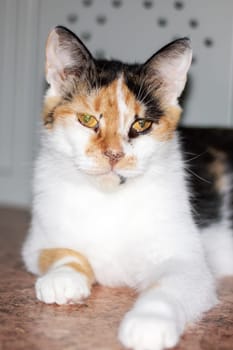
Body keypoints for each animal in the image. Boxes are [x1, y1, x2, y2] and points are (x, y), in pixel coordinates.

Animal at [21, 25, 233, 350]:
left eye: (141, 125)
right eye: (87, 119)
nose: (113, 155)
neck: (110, 199)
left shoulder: (189, 263)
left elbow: (167, 285)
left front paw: (149, 322)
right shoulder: (36, 242)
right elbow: (59, 251)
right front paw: (63, 279)